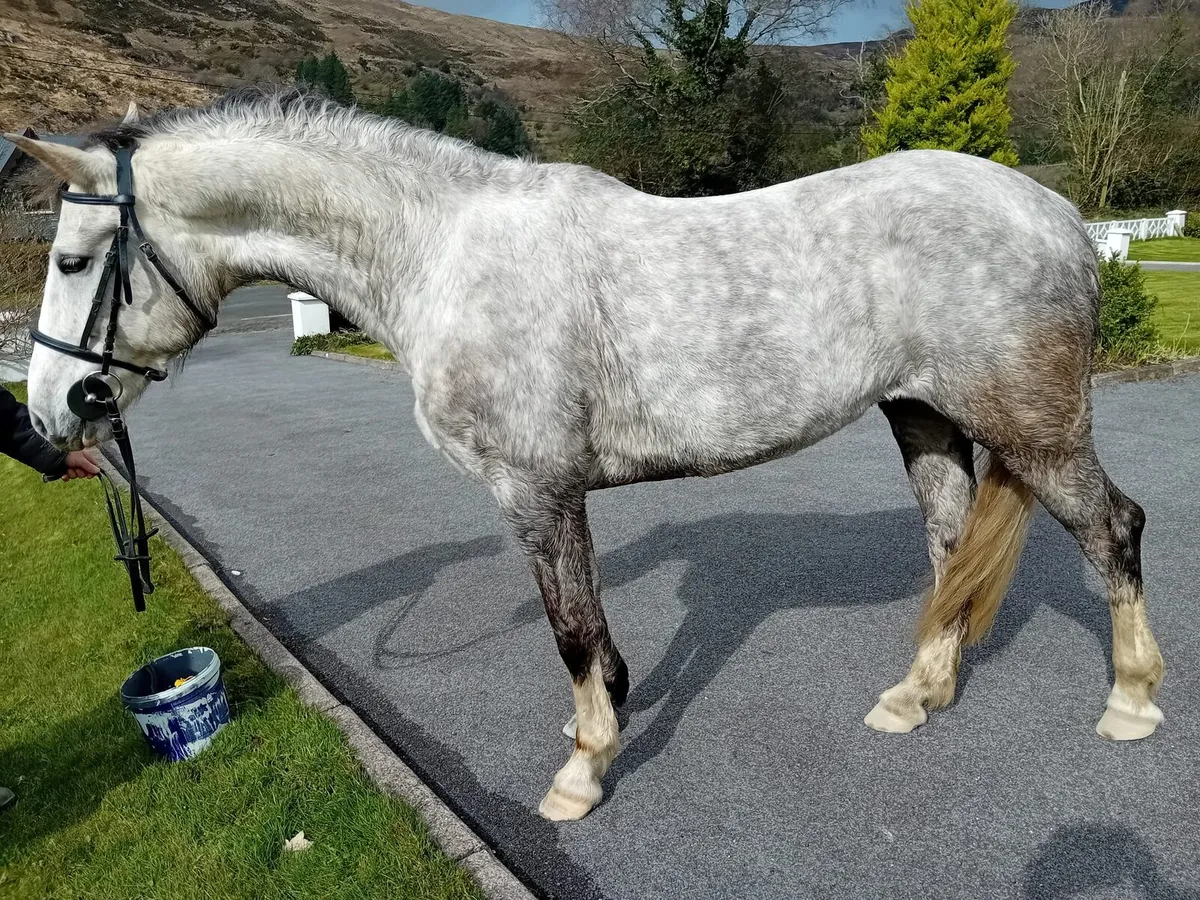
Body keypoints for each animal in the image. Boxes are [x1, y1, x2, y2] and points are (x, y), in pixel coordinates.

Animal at [9, 87, 1164, 822]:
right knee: (951, 547)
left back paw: (1130, 702)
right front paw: (607, 717)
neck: (442, 253)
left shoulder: (532, 488)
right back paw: (916, 696)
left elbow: (567, 631)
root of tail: (1060, 215)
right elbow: (590, 625)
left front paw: (582, 775)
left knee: (1113, 529)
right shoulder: (557, 494)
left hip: (1033, 425)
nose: (53, 417)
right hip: (921, 413)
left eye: (72, 260)